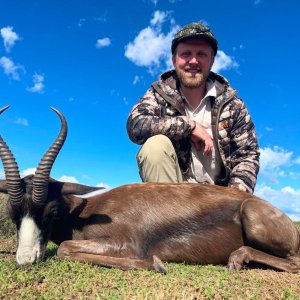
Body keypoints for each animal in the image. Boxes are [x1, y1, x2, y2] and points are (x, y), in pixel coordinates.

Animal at [0, 106, 298, 274]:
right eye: (13, 214)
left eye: (51, 211)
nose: (25, 260)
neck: (85, 213)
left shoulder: (125, 243)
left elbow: (64, 248)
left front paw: (154, 263)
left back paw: (237, 258)